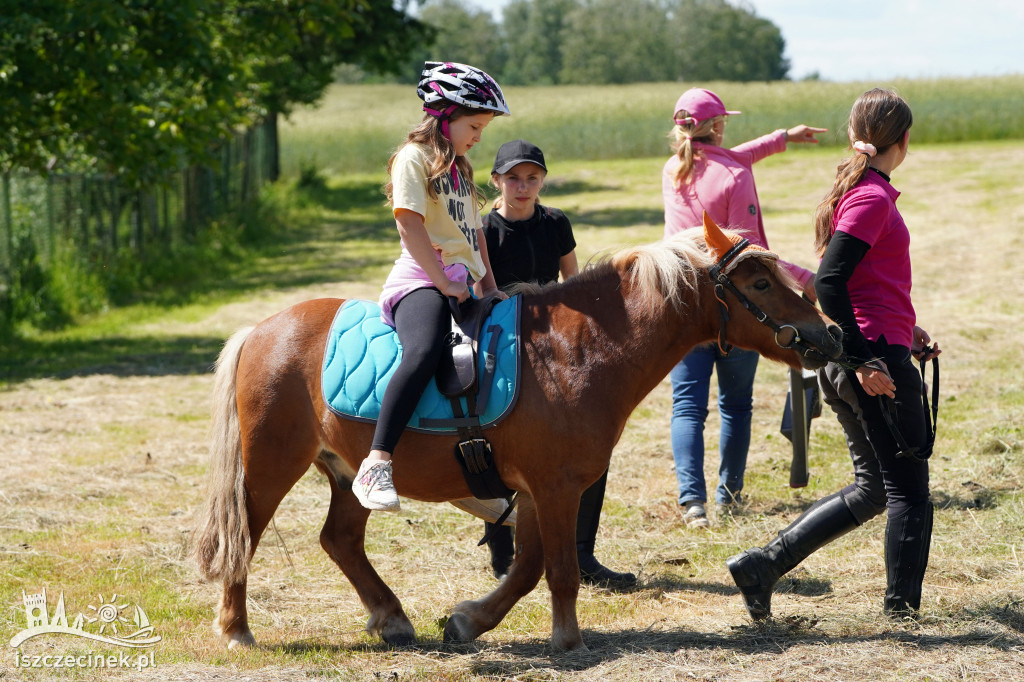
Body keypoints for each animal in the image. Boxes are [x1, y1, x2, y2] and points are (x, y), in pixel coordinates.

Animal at [190, 215, 839, 651]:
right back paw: (237, 629)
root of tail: (261, 330)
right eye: (759, 284)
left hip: (349, 471)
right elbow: (560, 569)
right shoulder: (555, 488)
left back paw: (392, 617)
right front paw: (569, 640)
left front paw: (468, 622)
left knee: (340, 540)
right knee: (243, 538)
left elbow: (526, 567)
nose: (828, 333)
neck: (577, 351)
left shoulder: (534, 490)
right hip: (270, 465)